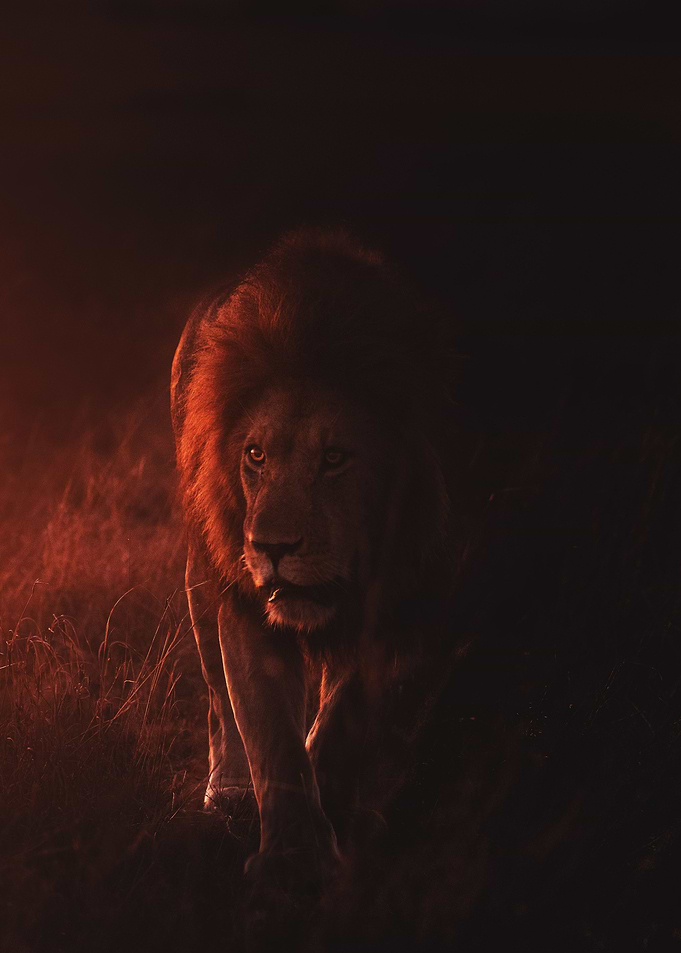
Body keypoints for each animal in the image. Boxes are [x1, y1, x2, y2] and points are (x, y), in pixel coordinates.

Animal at [171, 227, 455, 884]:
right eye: (255, 455)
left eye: (334, 459)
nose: (271, 548)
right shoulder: (246, 605)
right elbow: (268, 730)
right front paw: (292, 859)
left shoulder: (411, 599)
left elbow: (347, 714)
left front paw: (335, 809)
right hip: (203, 574)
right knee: (219, 701)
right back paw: (227, 792)